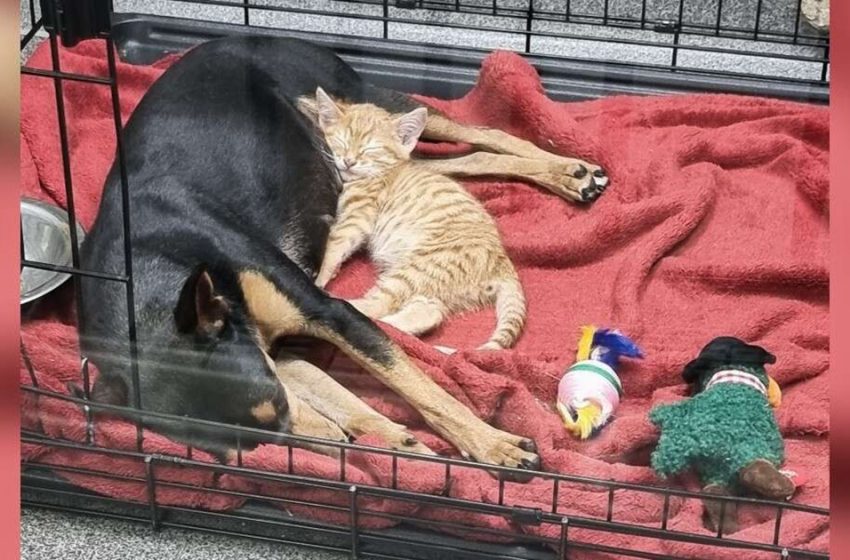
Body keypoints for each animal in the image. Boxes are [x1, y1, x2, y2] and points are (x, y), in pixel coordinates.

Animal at [304, 87, 524, 350]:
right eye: (341, 142)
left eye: (371, 149)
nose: (349, 161)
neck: (384, 171)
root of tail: (503, 264)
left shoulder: (357, 218)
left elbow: (334, 246)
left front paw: (320, 278)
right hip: (433, 285)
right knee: (430, 312)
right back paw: (394, 328)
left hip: (419, 268)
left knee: (380, 303)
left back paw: (340, 304)